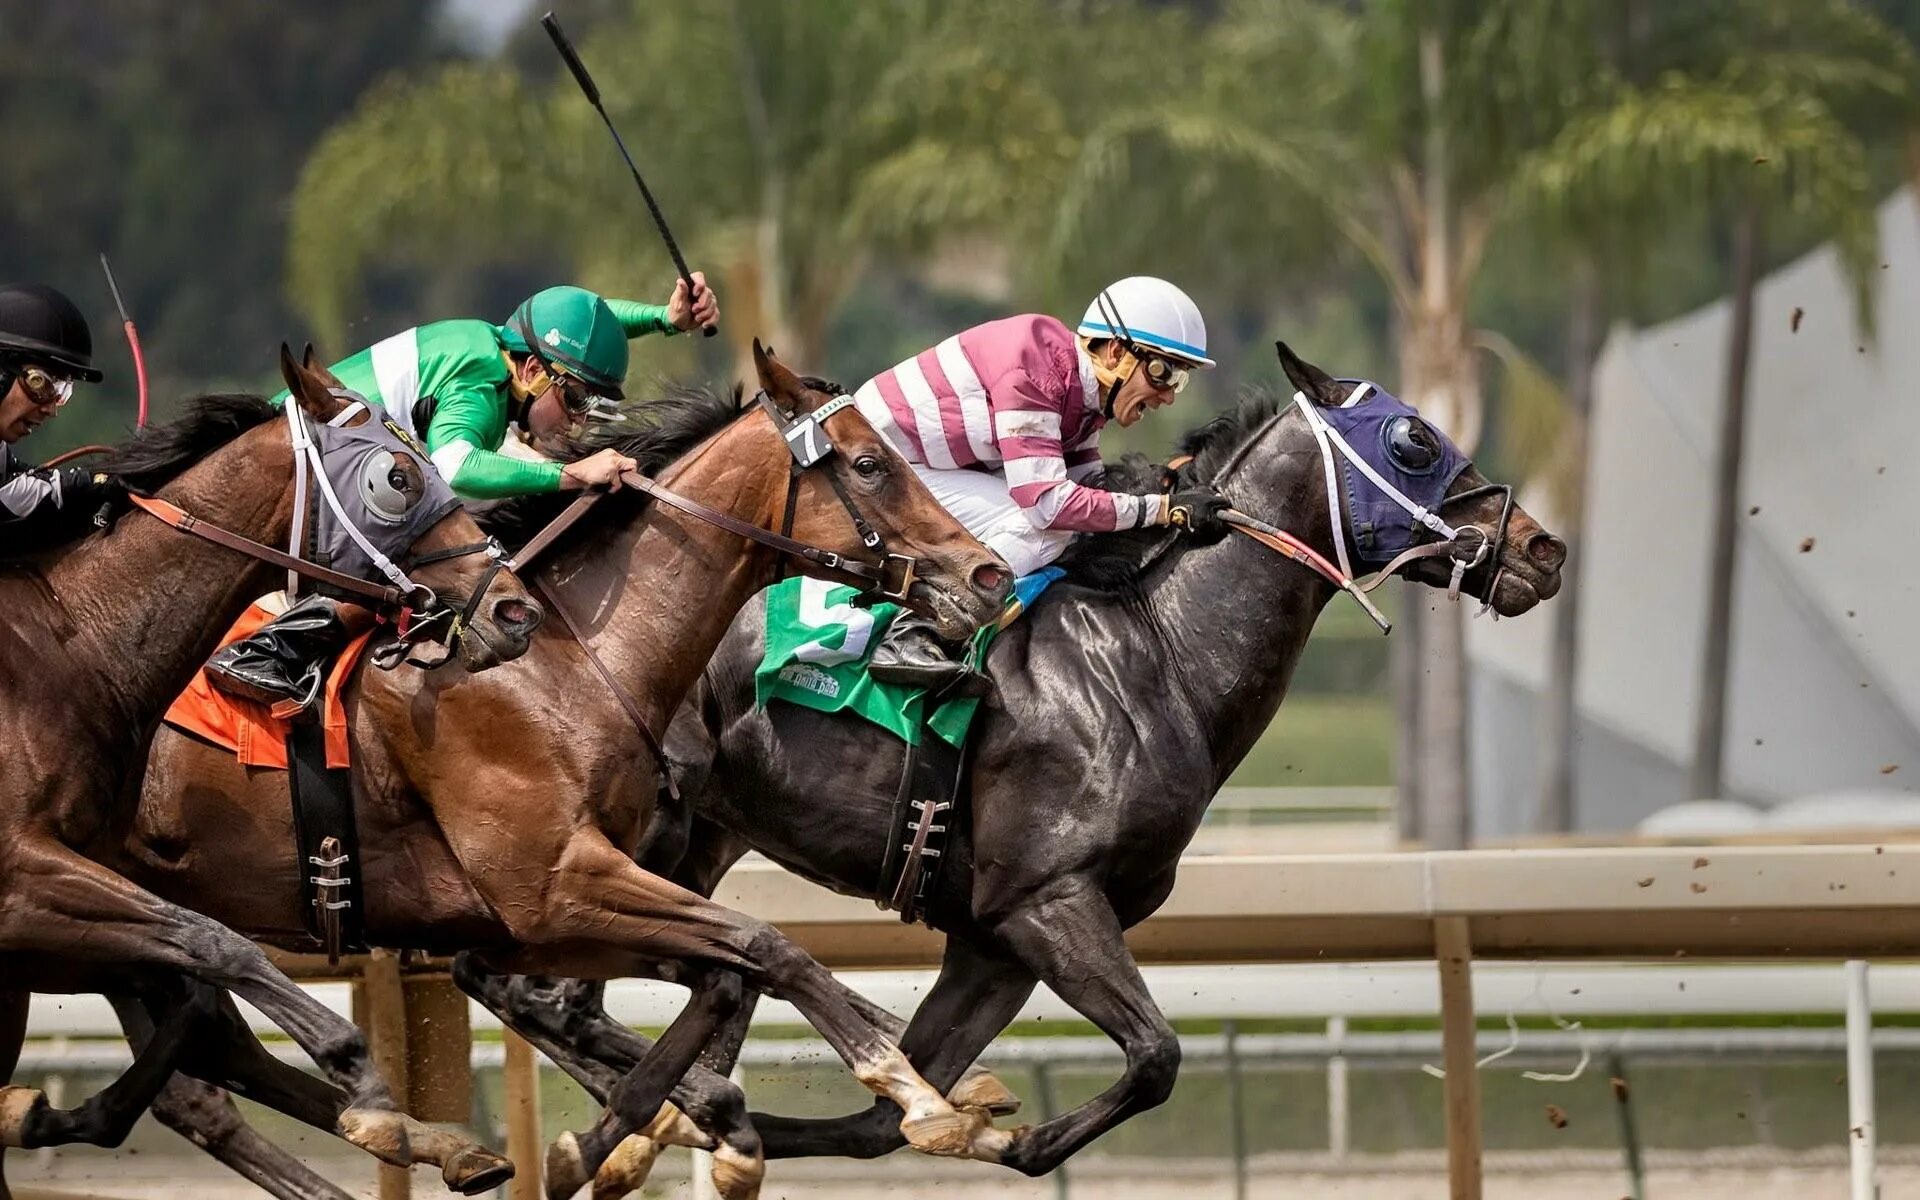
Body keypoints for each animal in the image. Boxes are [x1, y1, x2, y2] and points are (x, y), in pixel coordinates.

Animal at [1, 343, 541, 1190]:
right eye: (398, 478)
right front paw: (368, 1088)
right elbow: (220, 946)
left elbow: (202, 976)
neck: (68, 641)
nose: (514, 612)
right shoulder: (21, 879)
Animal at [121, 341, 1013, 1190]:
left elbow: (727, 976)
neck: (568, 660)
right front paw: (917, 1093)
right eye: (870, 464)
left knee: (202, 1059)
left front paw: (616, 1142)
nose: (989, 573)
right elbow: (770, 947)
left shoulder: (540, 918)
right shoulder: (553, 886)